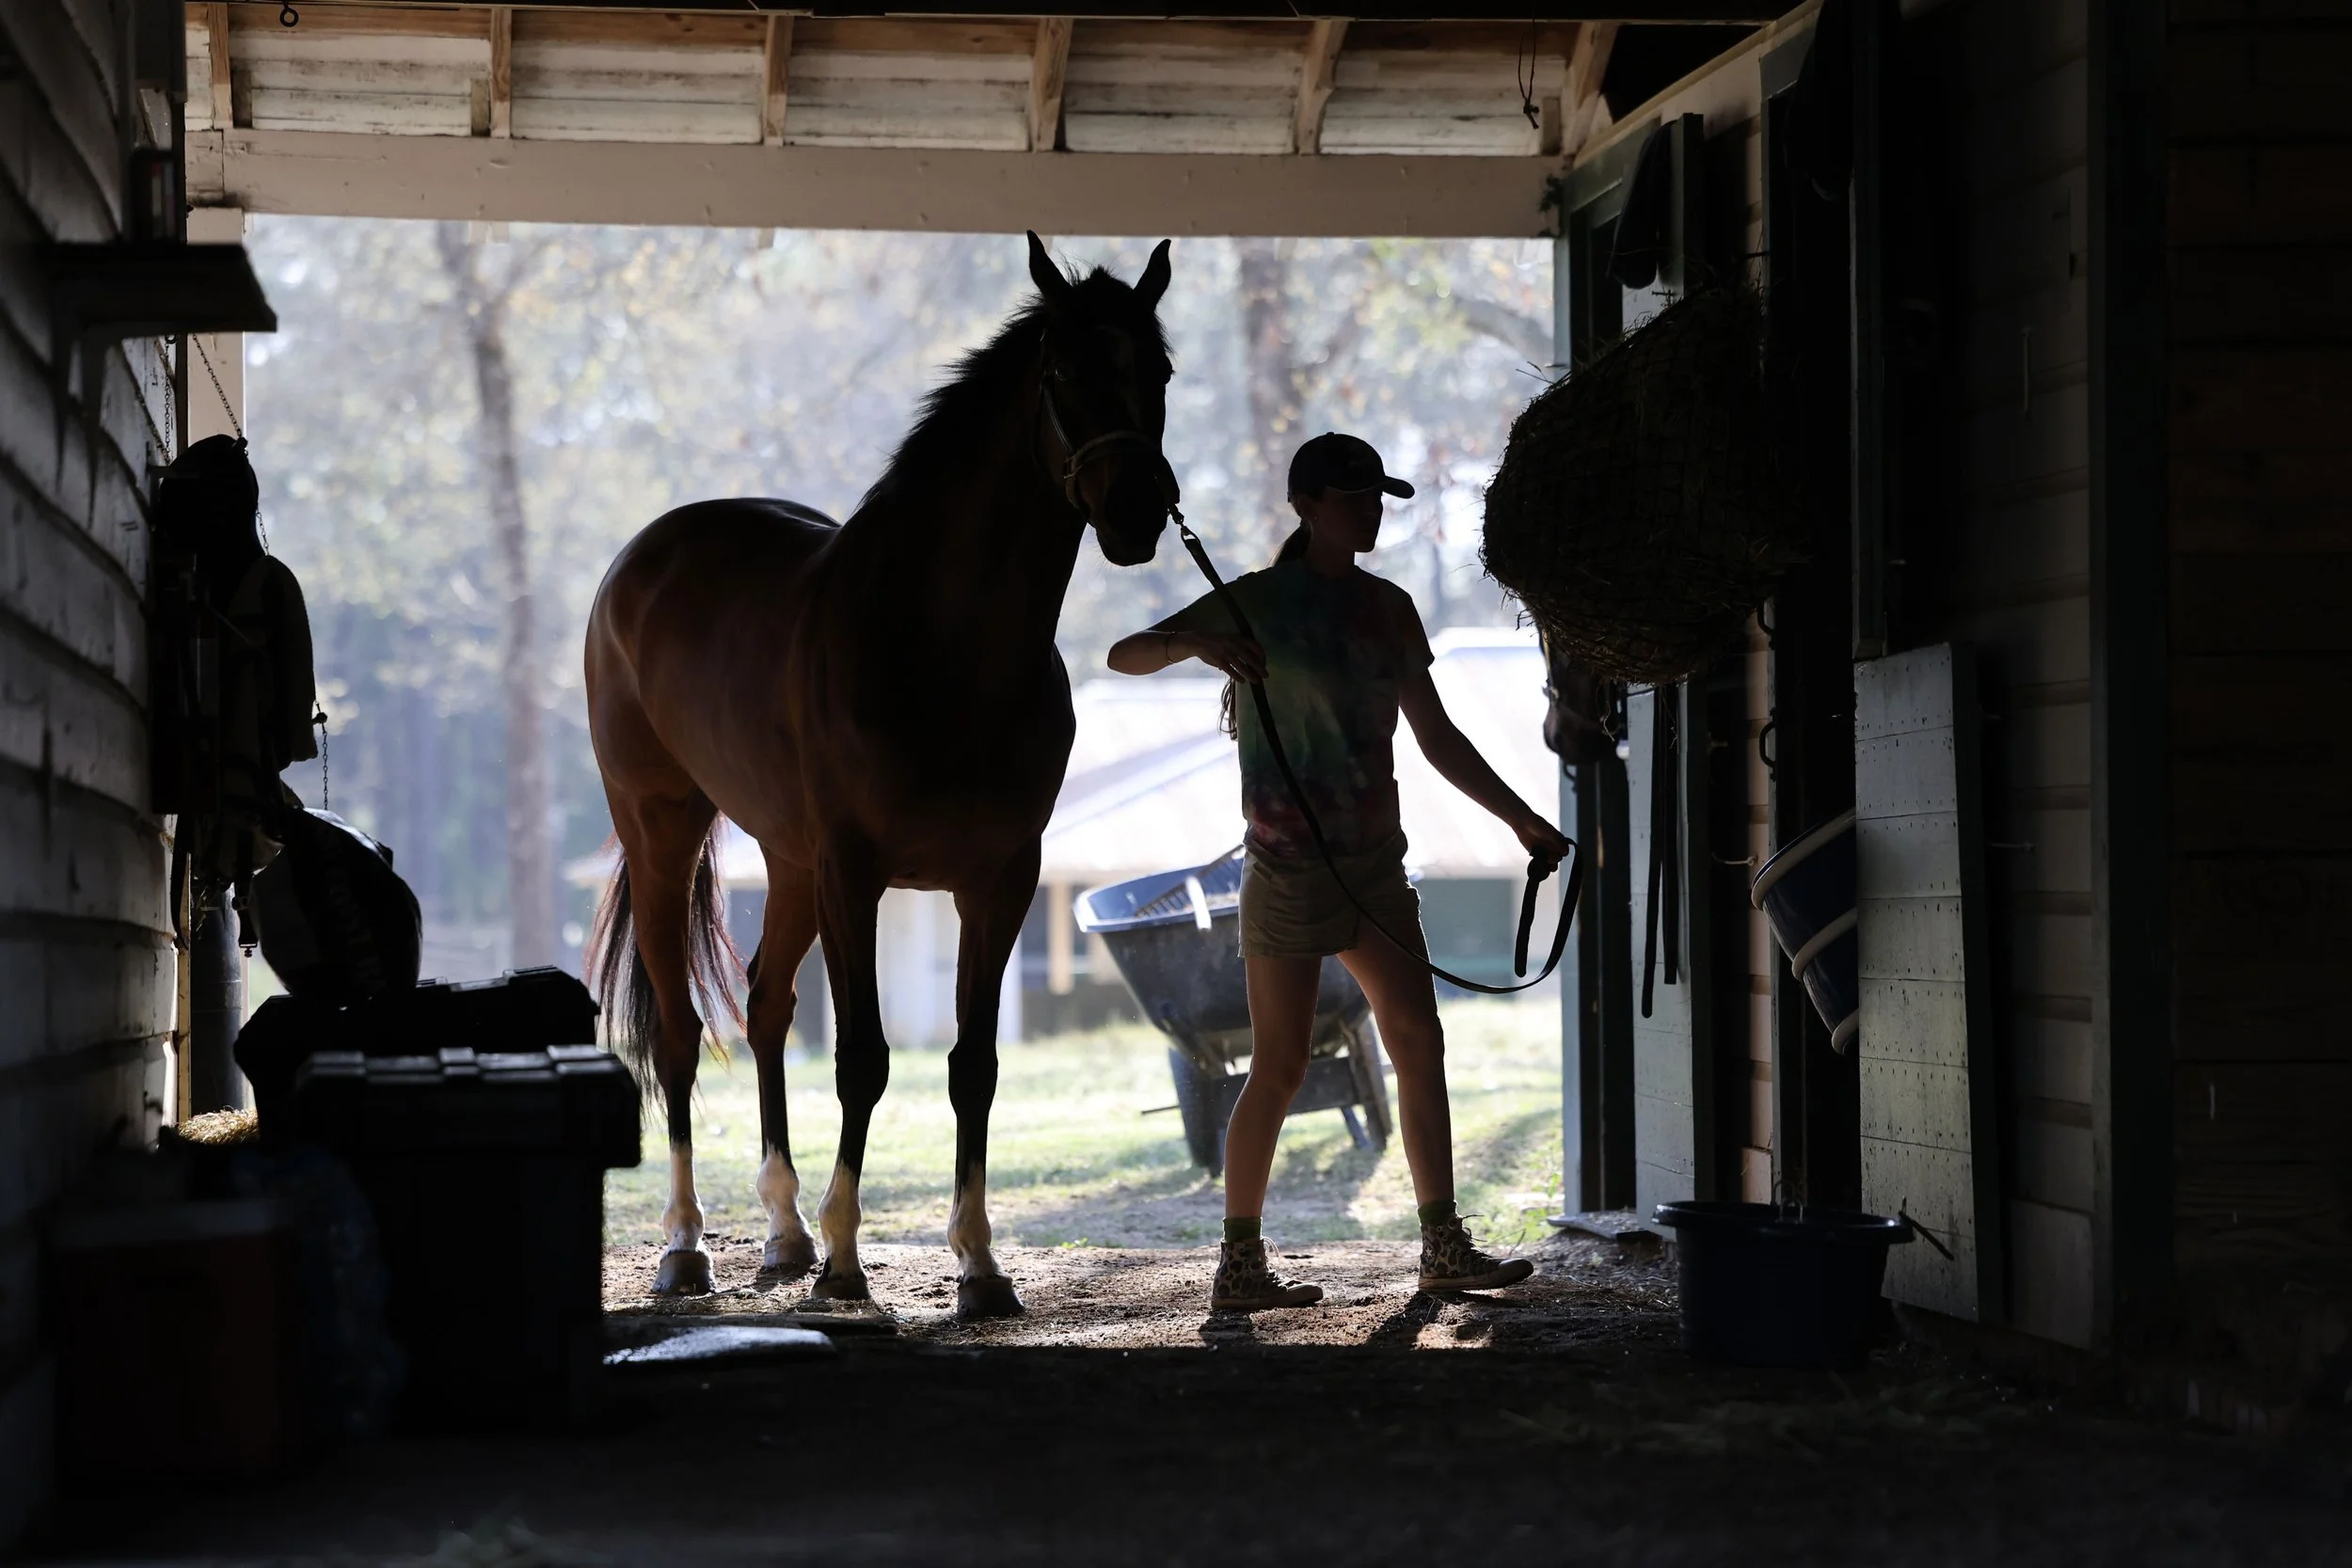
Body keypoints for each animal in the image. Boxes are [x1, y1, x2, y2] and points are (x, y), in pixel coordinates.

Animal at [585, 234, 1178, 1318]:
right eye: (1062, 372)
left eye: (1155, 370)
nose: (1136, 512)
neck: (942, 644)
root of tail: (643, 561)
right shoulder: (857, 872)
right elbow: (862, 1059)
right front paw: (846, 1262)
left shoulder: (1000, 880)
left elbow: (974, 1065)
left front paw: (978, 1264)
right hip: (665, 830)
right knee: (683, 1031)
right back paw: (688, 1246)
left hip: (788, 861)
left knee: (767, 1003)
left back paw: (780, 1233)